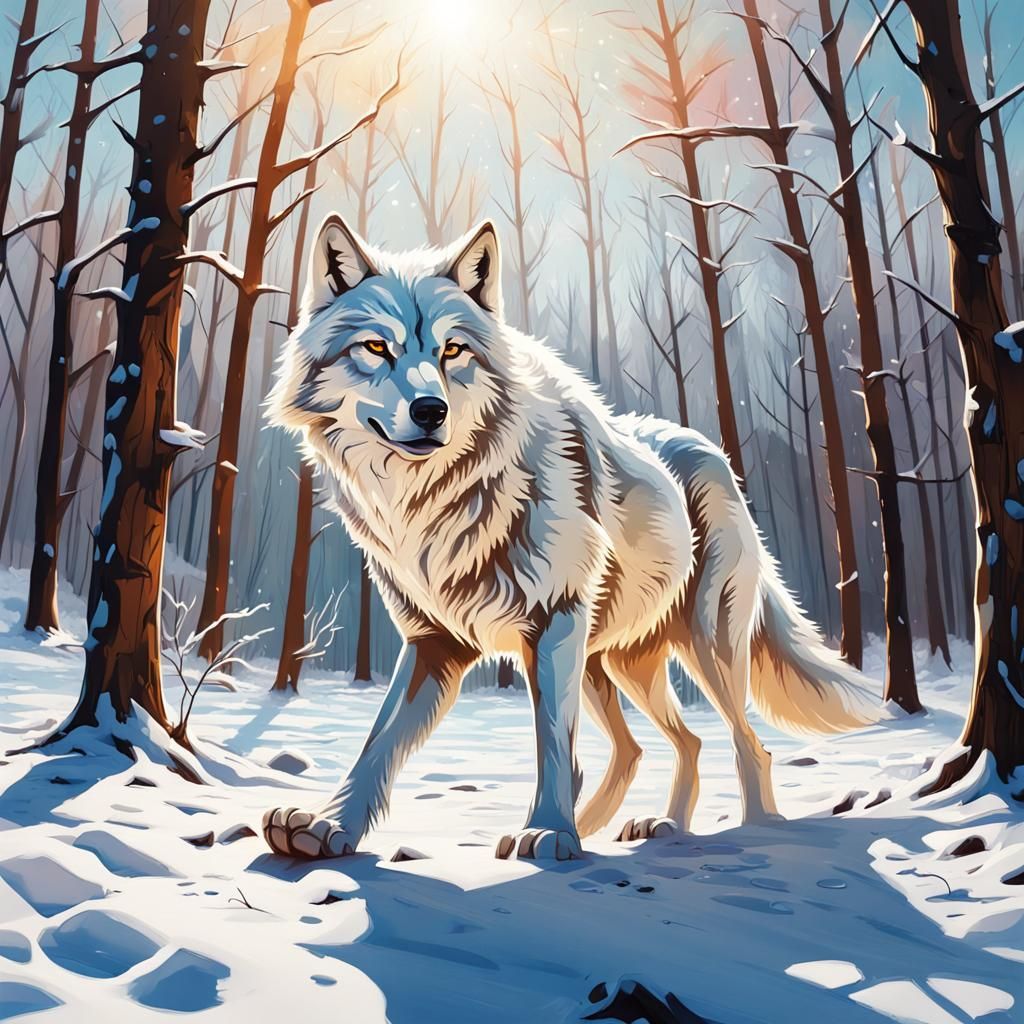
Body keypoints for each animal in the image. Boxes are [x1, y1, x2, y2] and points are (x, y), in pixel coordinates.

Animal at [262, 214, 878, 862]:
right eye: (377, 347)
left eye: (453, 349)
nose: (431, 410)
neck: (436, 501)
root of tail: (712, 453)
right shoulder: (436, 642)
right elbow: (376, 745)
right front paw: (328, 825)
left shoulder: (553, 621)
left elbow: (554, 741)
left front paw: (550, 830)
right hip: (611, 666)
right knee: (663, 745)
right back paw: (648, 825)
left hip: (703, 650)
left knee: (746, 745)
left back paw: (750, 830)